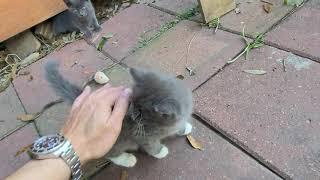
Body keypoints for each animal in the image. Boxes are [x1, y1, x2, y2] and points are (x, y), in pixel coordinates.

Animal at [44, 62, 192, 167]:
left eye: (140, 113)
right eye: (132, 104)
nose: (132, 115)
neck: (161, 125)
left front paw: (185, 128)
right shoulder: (142, 136)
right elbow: (151, 146)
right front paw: (160, 152)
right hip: (114, 139)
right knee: (110, 154)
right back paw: (127, 159)